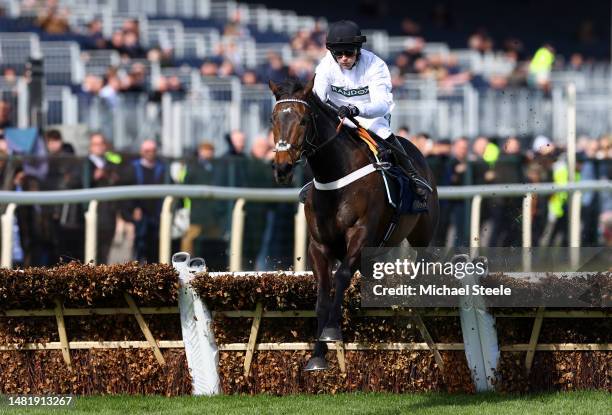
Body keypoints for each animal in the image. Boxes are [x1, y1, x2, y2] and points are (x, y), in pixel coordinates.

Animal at [270, 77, 438, 370]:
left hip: (422, 234)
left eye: (303, 120)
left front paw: (331, 331)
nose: (282, 167)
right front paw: (317, 356)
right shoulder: (319, 245)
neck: (335, 179)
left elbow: (342, 276)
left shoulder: (361, 234)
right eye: (273, 119)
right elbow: (323, 295)